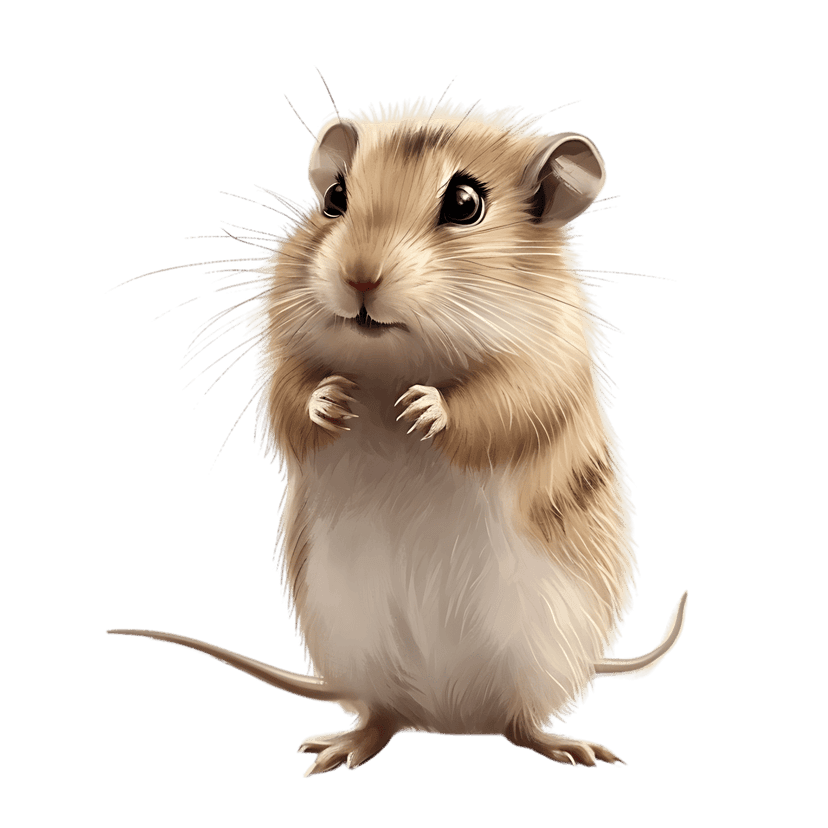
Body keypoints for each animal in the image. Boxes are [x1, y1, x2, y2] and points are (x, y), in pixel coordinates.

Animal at [107, 79, 688, 778]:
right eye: (334, 197)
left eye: (465, 203)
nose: (359, 277)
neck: (392, 361)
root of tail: (449, 716)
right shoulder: (281, 349)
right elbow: (289, 399)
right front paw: (332, 402)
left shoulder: (547, 367)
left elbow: (499, 404)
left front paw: (423, 410)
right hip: (354, 642)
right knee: (381, 714)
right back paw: (341, 748)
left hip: (542, 651)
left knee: (521, 722)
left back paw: (570, 748)